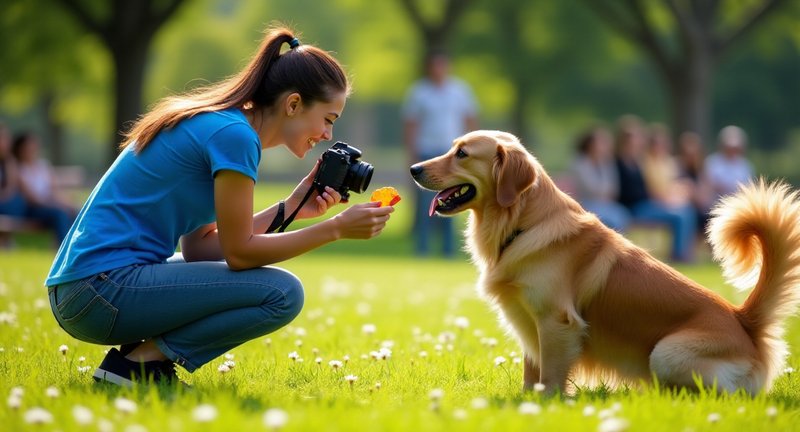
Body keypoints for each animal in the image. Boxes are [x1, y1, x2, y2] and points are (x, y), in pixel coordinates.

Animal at [410, 131, 800, 394]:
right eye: (452, 148)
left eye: (462, 153)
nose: (413, 168)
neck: (523, 223)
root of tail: (745, 322)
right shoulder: (528, 321)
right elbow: (531, 375)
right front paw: (524, 404)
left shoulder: (556, 322)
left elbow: (550, 379)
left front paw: (545, 407)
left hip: (666, 353)